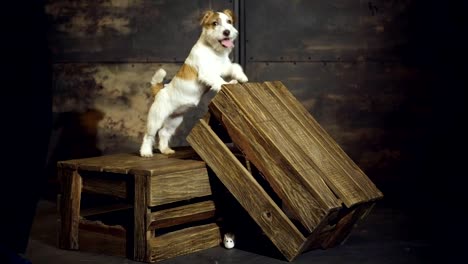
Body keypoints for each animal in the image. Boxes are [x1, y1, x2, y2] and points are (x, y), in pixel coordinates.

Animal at [140, 8, 247, 157]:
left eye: (229, 22)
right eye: (215, 23)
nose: (227, 32)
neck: (213, 51)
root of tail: (160, 89)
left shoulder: (225, 67)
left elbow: (235, 67)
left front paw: (241, 77)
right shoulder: (207, 72)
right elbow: (219, 80)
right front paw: (228, 83)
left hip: (174, 120)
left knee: (163, 133)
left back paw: (165, 150)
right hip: (156, 119)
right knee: (148, 135)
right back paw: (145, 152)